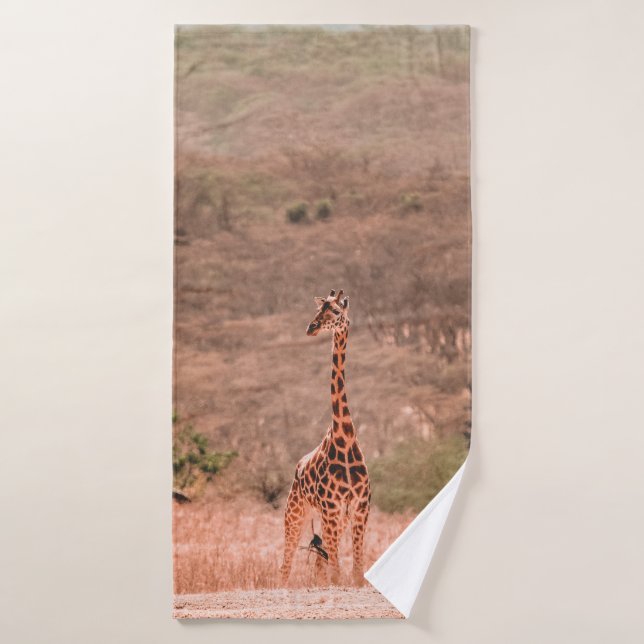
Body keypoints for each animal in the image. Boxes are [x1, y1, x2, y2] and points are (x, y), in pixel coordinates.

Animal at [280, 289, 371, 587]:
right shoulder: (331, 507)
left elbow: (356, 571)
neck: (346, 439)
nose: (311, 327)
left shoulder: (359, 508)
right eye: (319, 309)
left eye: (336, 312)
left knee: (321, 562)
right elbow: (338, 572)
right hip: (295, 513)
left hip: (332, 518)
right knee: (285, 565)